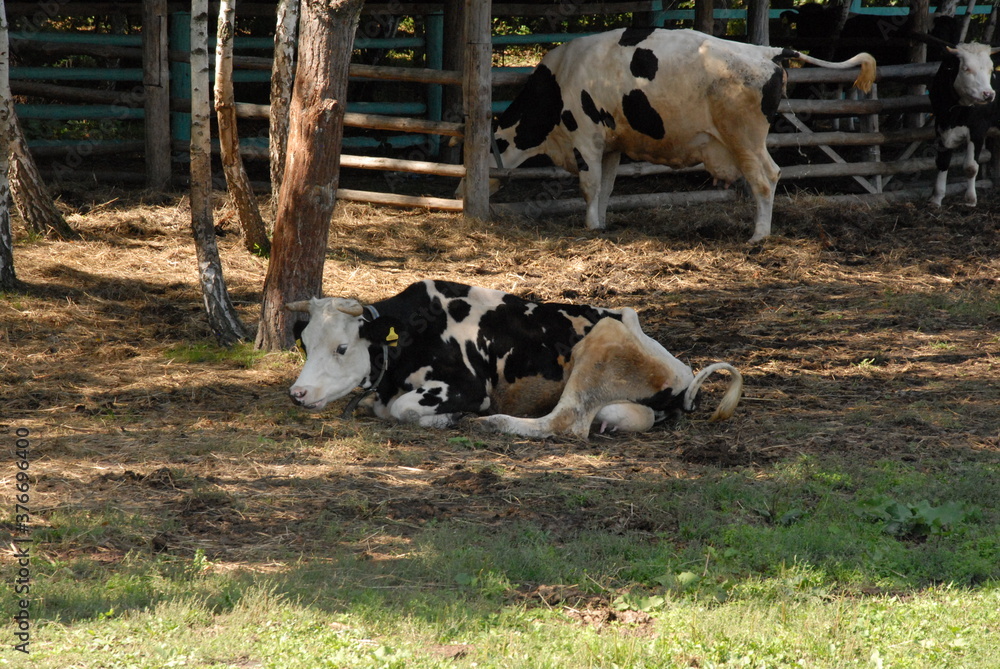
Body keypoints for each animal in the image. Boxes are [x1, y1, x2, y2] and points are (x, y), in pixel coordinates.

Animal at [286, 280, 743, 440]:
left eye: (341, 348)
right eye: (305, 344)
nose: (298, 393)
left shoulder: (466, 386)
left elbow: (401, 409)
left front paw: (447, 419)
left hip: (601, 343)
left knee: (566, 422)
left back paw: (492, 424)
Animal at [491, 27, 875, 242]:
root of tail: (765, 51)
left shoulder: (585, 138)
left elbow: (589, 185)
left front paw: (589, 227)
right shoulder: (610, 145)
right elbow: (605, 187)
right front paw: (600, 224)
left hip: (745, 138)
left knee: (766, 179)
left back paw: (758, 236)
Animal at [928, 42, 1000, 208]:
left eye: (991, 69)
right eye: (966, 68)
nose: (989, 94)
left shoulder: (978, 129)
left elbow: (971, 167)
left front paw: (971, 200)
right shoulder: (940, 126)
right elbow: (942, 162)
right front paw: (937, 198)